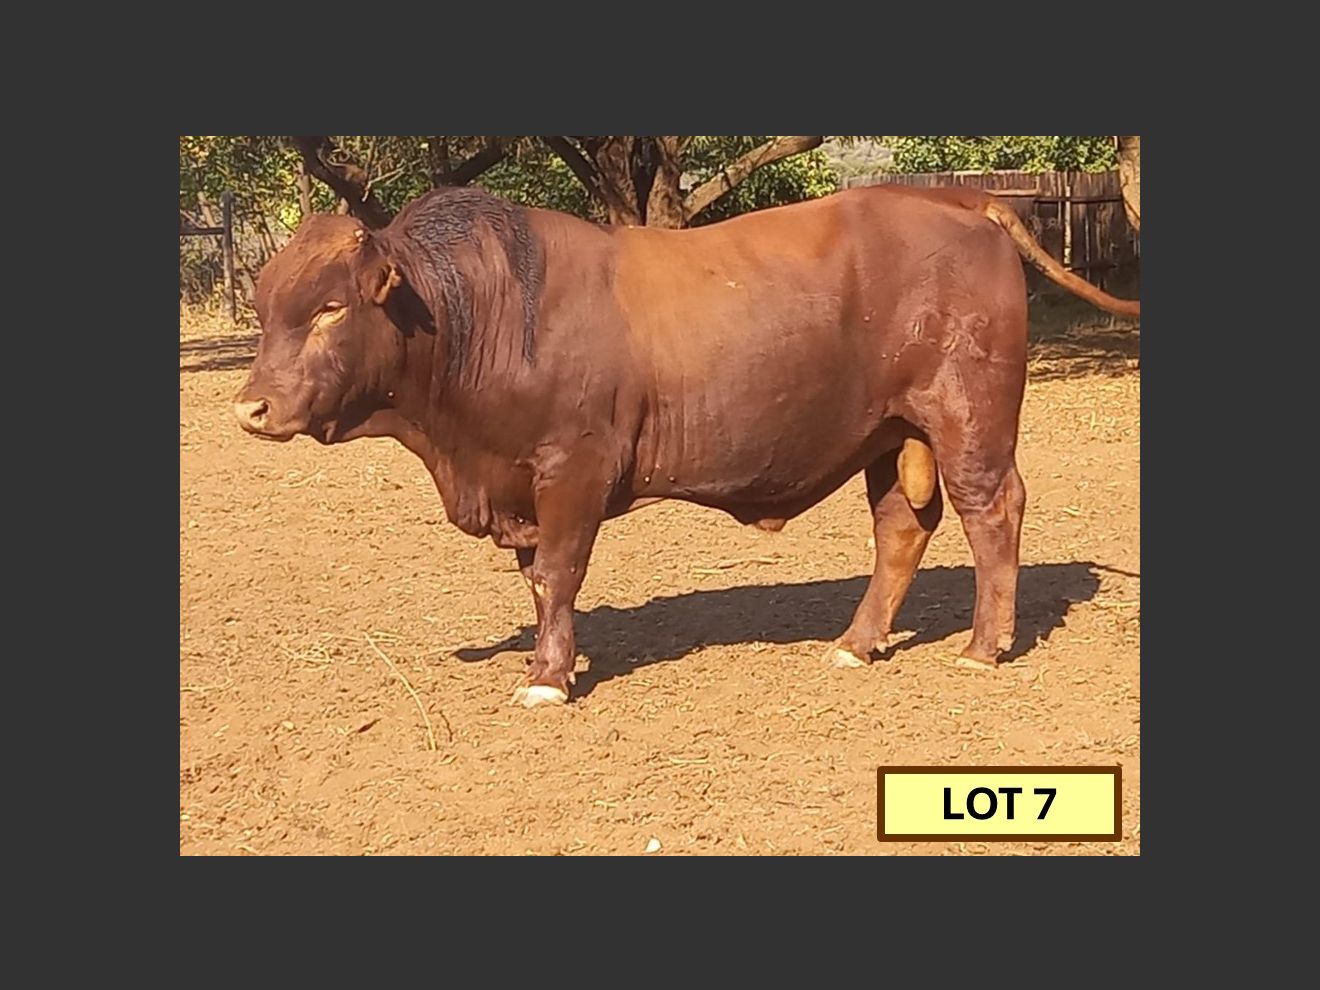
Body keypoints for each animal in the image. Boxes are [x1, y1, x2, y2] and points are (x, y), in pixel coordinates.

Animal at [233, 183, 1139, 707]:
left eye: (329, 307)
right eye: (266, 306)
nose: (251, 407)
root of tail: (956, 199)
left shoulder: (573, 468)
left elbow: (558, 574)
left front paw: (546, 681)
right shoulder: (522, 482)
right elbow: (537, 582)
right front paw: (546, 661)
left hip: (968, 417)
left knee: (994, 512)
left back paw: (984, 649)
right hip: (891, 432)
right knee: (902, 529)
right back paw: (856, 644)